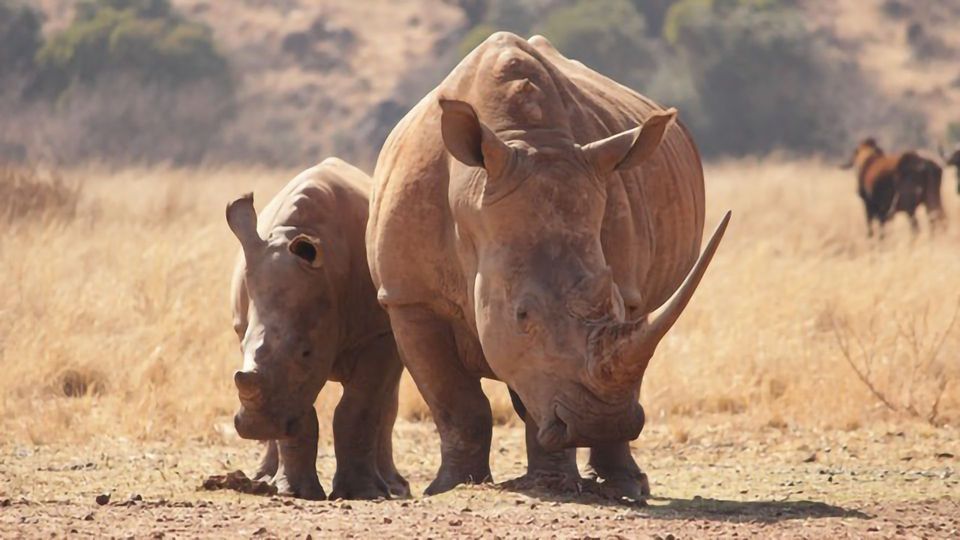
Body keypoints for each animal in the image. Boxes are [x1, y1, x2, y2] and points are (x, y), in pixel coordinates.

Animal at [227, 158, 409, 500]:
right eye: (240, 344)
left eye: (306, 353)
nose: (256, 427)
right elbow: (299, 412)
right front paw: (295, 492)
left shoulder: (378, 334)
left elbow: (360, 407)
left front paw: (363, 493)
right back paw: (263, 479)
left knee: (386, 399)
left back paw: (394, 487)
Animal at [367, 32, 730, 499]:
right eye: (522, 314)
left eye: (614, 302)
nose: (599, 423)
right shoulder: (408, 297)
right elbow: (455, 401)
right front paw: (450, 487)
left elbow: (542, 386)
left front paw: (553, 484)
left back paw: (627, 486)